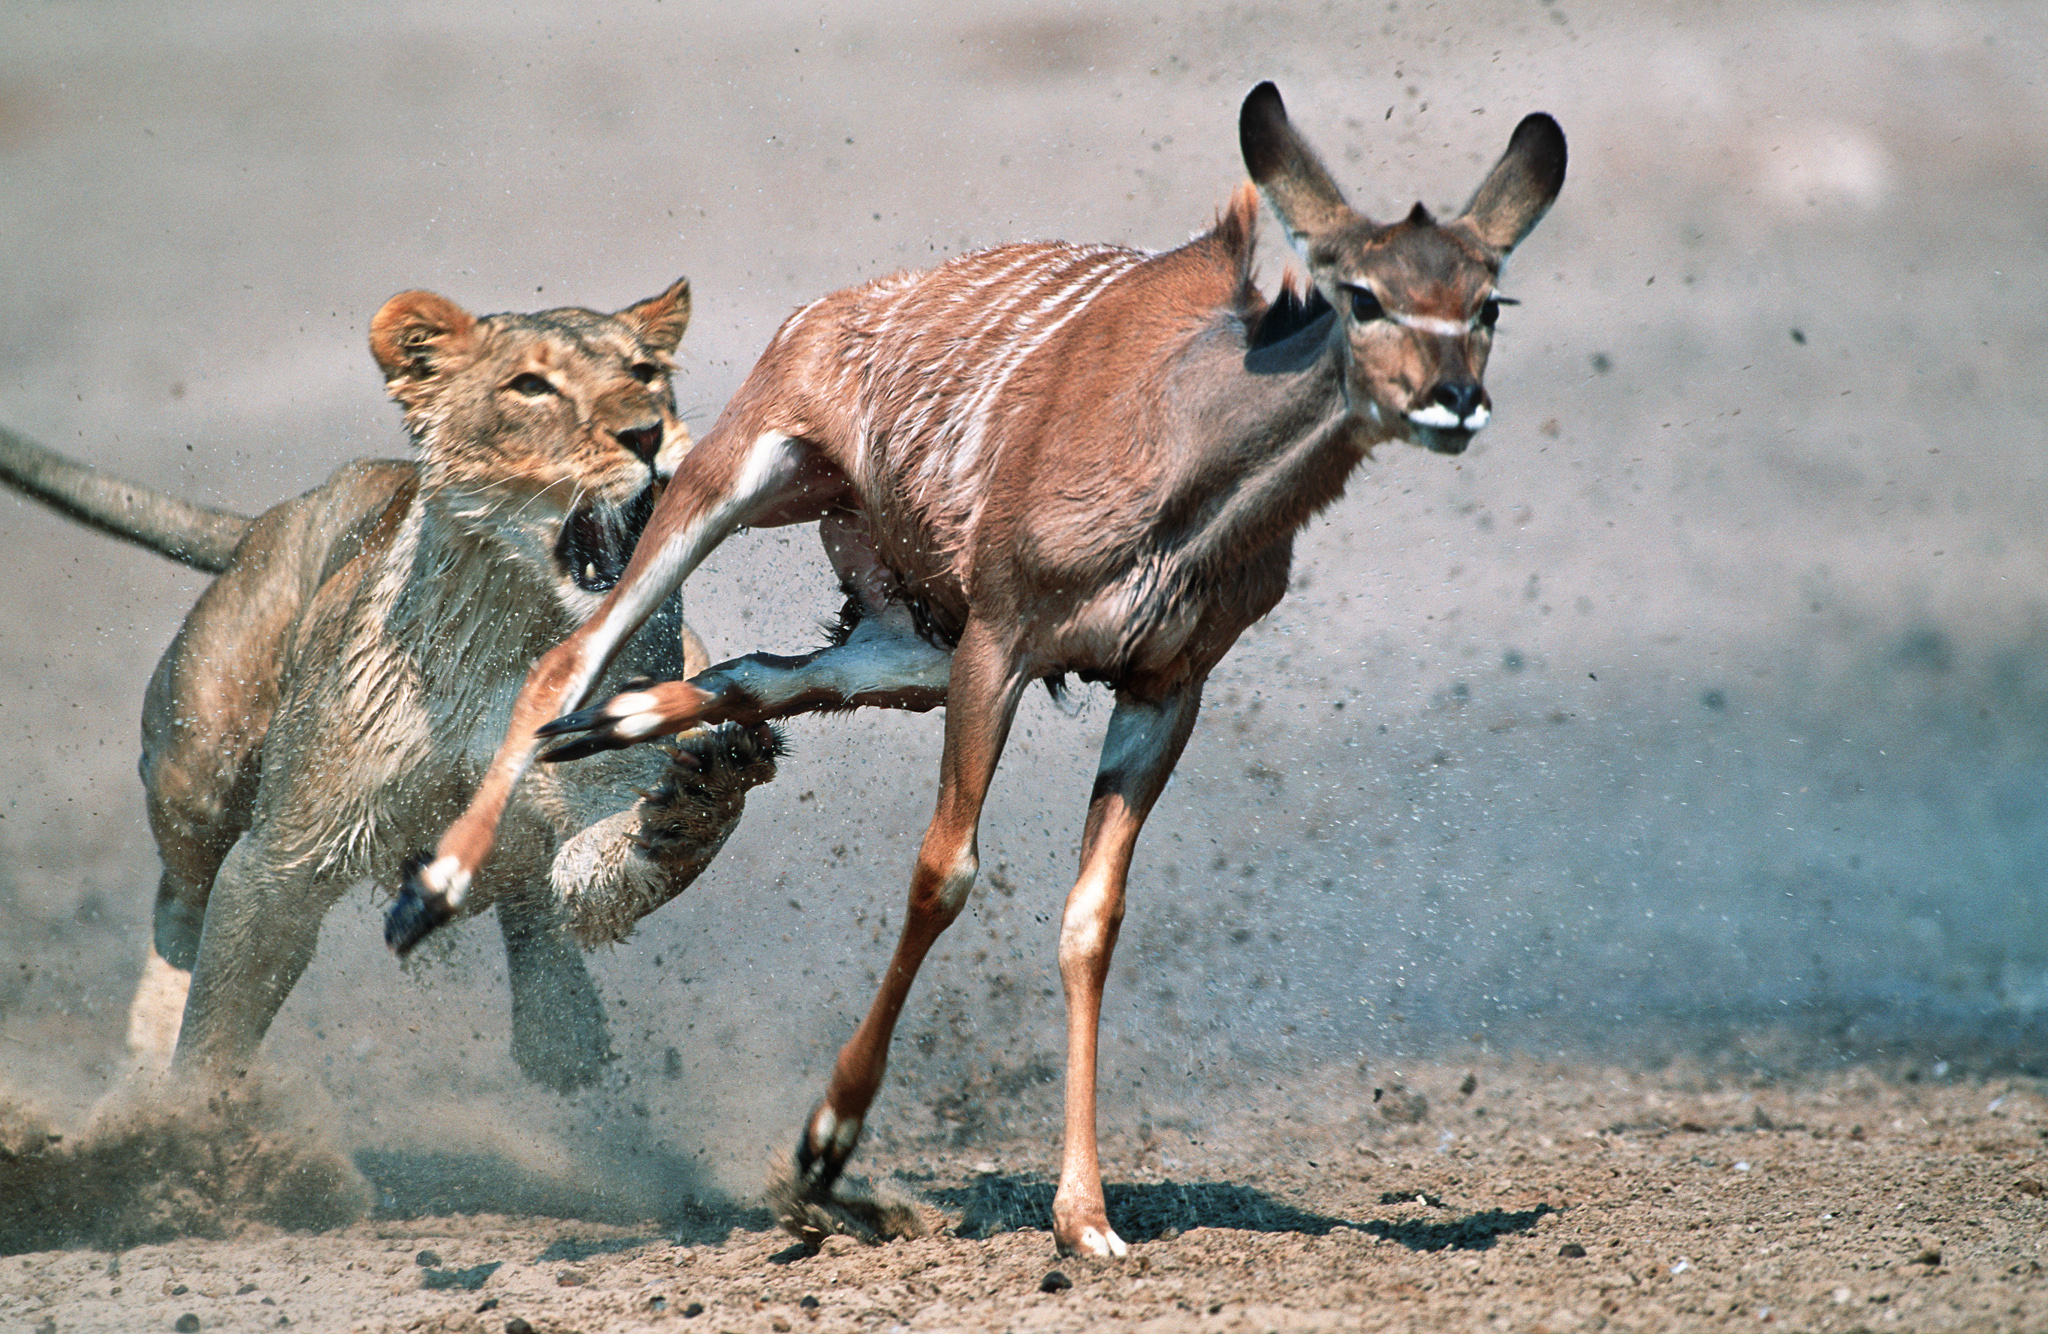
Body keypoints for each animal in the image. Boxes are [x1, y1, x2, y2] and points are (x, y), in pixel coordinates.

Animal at [385, 86, 1564, 1262]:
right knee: (566, 658)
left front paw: (1085, 1218)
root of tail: (834, 307)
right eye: (1363, 295)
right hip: (745, 480)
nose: (1453, 399)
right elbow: (941, 871)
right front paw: (820, 1152)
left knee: (760, 669)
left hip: (904, 639)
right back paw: (429, 891)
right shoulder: (1002, 643)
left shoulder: (1162, 682)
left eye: (1489, 300)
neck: (1180, 463)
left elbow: (1092, 916)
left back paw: (621, 732)